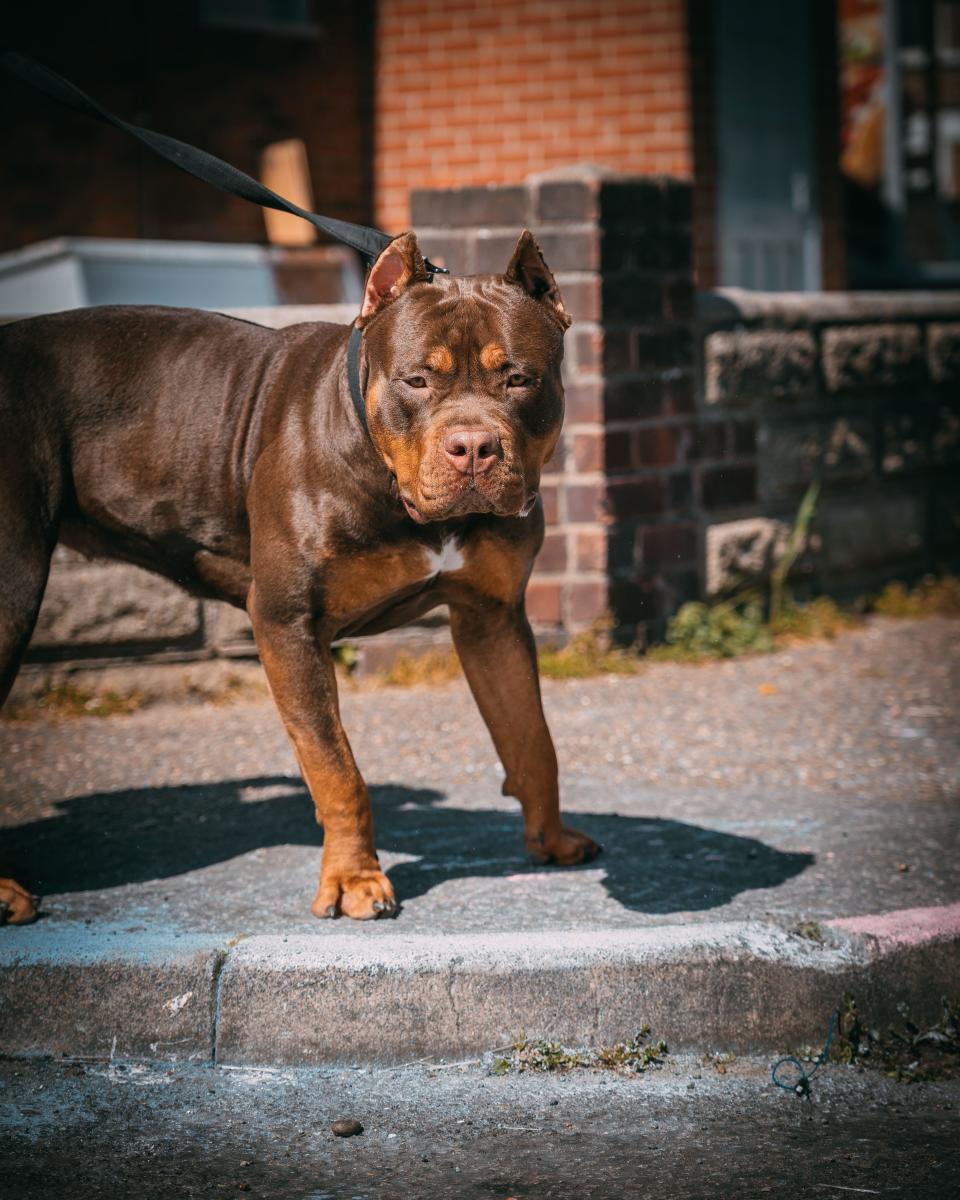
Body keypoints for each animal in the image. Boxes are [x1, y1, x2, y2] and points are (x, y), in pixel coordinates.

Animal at [0, 231, 600, 926]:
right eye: (417, 380)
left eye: (520, 379)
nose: (472, 447)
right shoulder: (288, 623)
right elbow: (335, 767)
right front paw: (354, 879)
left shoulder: (492, 617)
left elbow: (531, 738)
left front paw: (551, 839)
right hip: (10, 593)